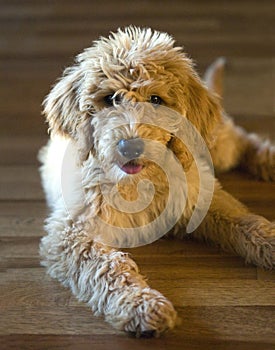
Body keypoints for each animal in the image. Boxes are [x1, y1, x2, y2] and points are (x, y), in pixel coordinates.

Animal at [39, 26, 275, 338]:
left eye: (156, 100)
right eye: (110, 98)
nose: (130, 146)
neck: (139, 182)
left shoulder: (200, 193)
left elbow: (244, 221)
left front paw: (270, 241)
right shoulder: (72, 233)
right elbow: (107, 269)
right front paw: (142, 306)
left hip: (214, 148)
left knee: (241, 140)